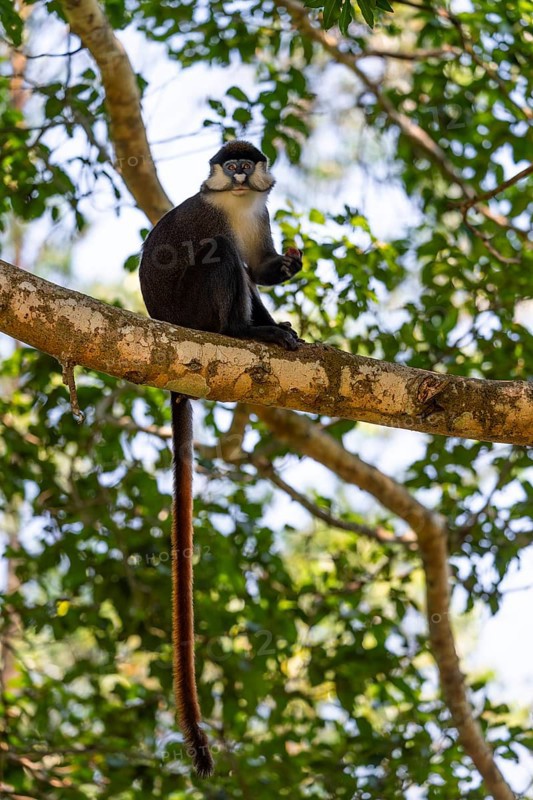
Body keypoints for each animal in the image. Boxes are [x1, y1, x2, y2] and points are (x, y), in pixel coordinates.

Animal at [139, 140, 303, 777]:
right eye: (227, 164)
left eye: (246, 164)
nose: (236, 174)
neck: (234, 203)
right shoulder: (212, 214)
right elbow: (223, 254)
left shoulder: (258, 210)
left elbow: (260, 270)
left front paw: (288, 266)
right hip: (194, 312)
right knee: (220, 259)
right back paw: (244, 331)